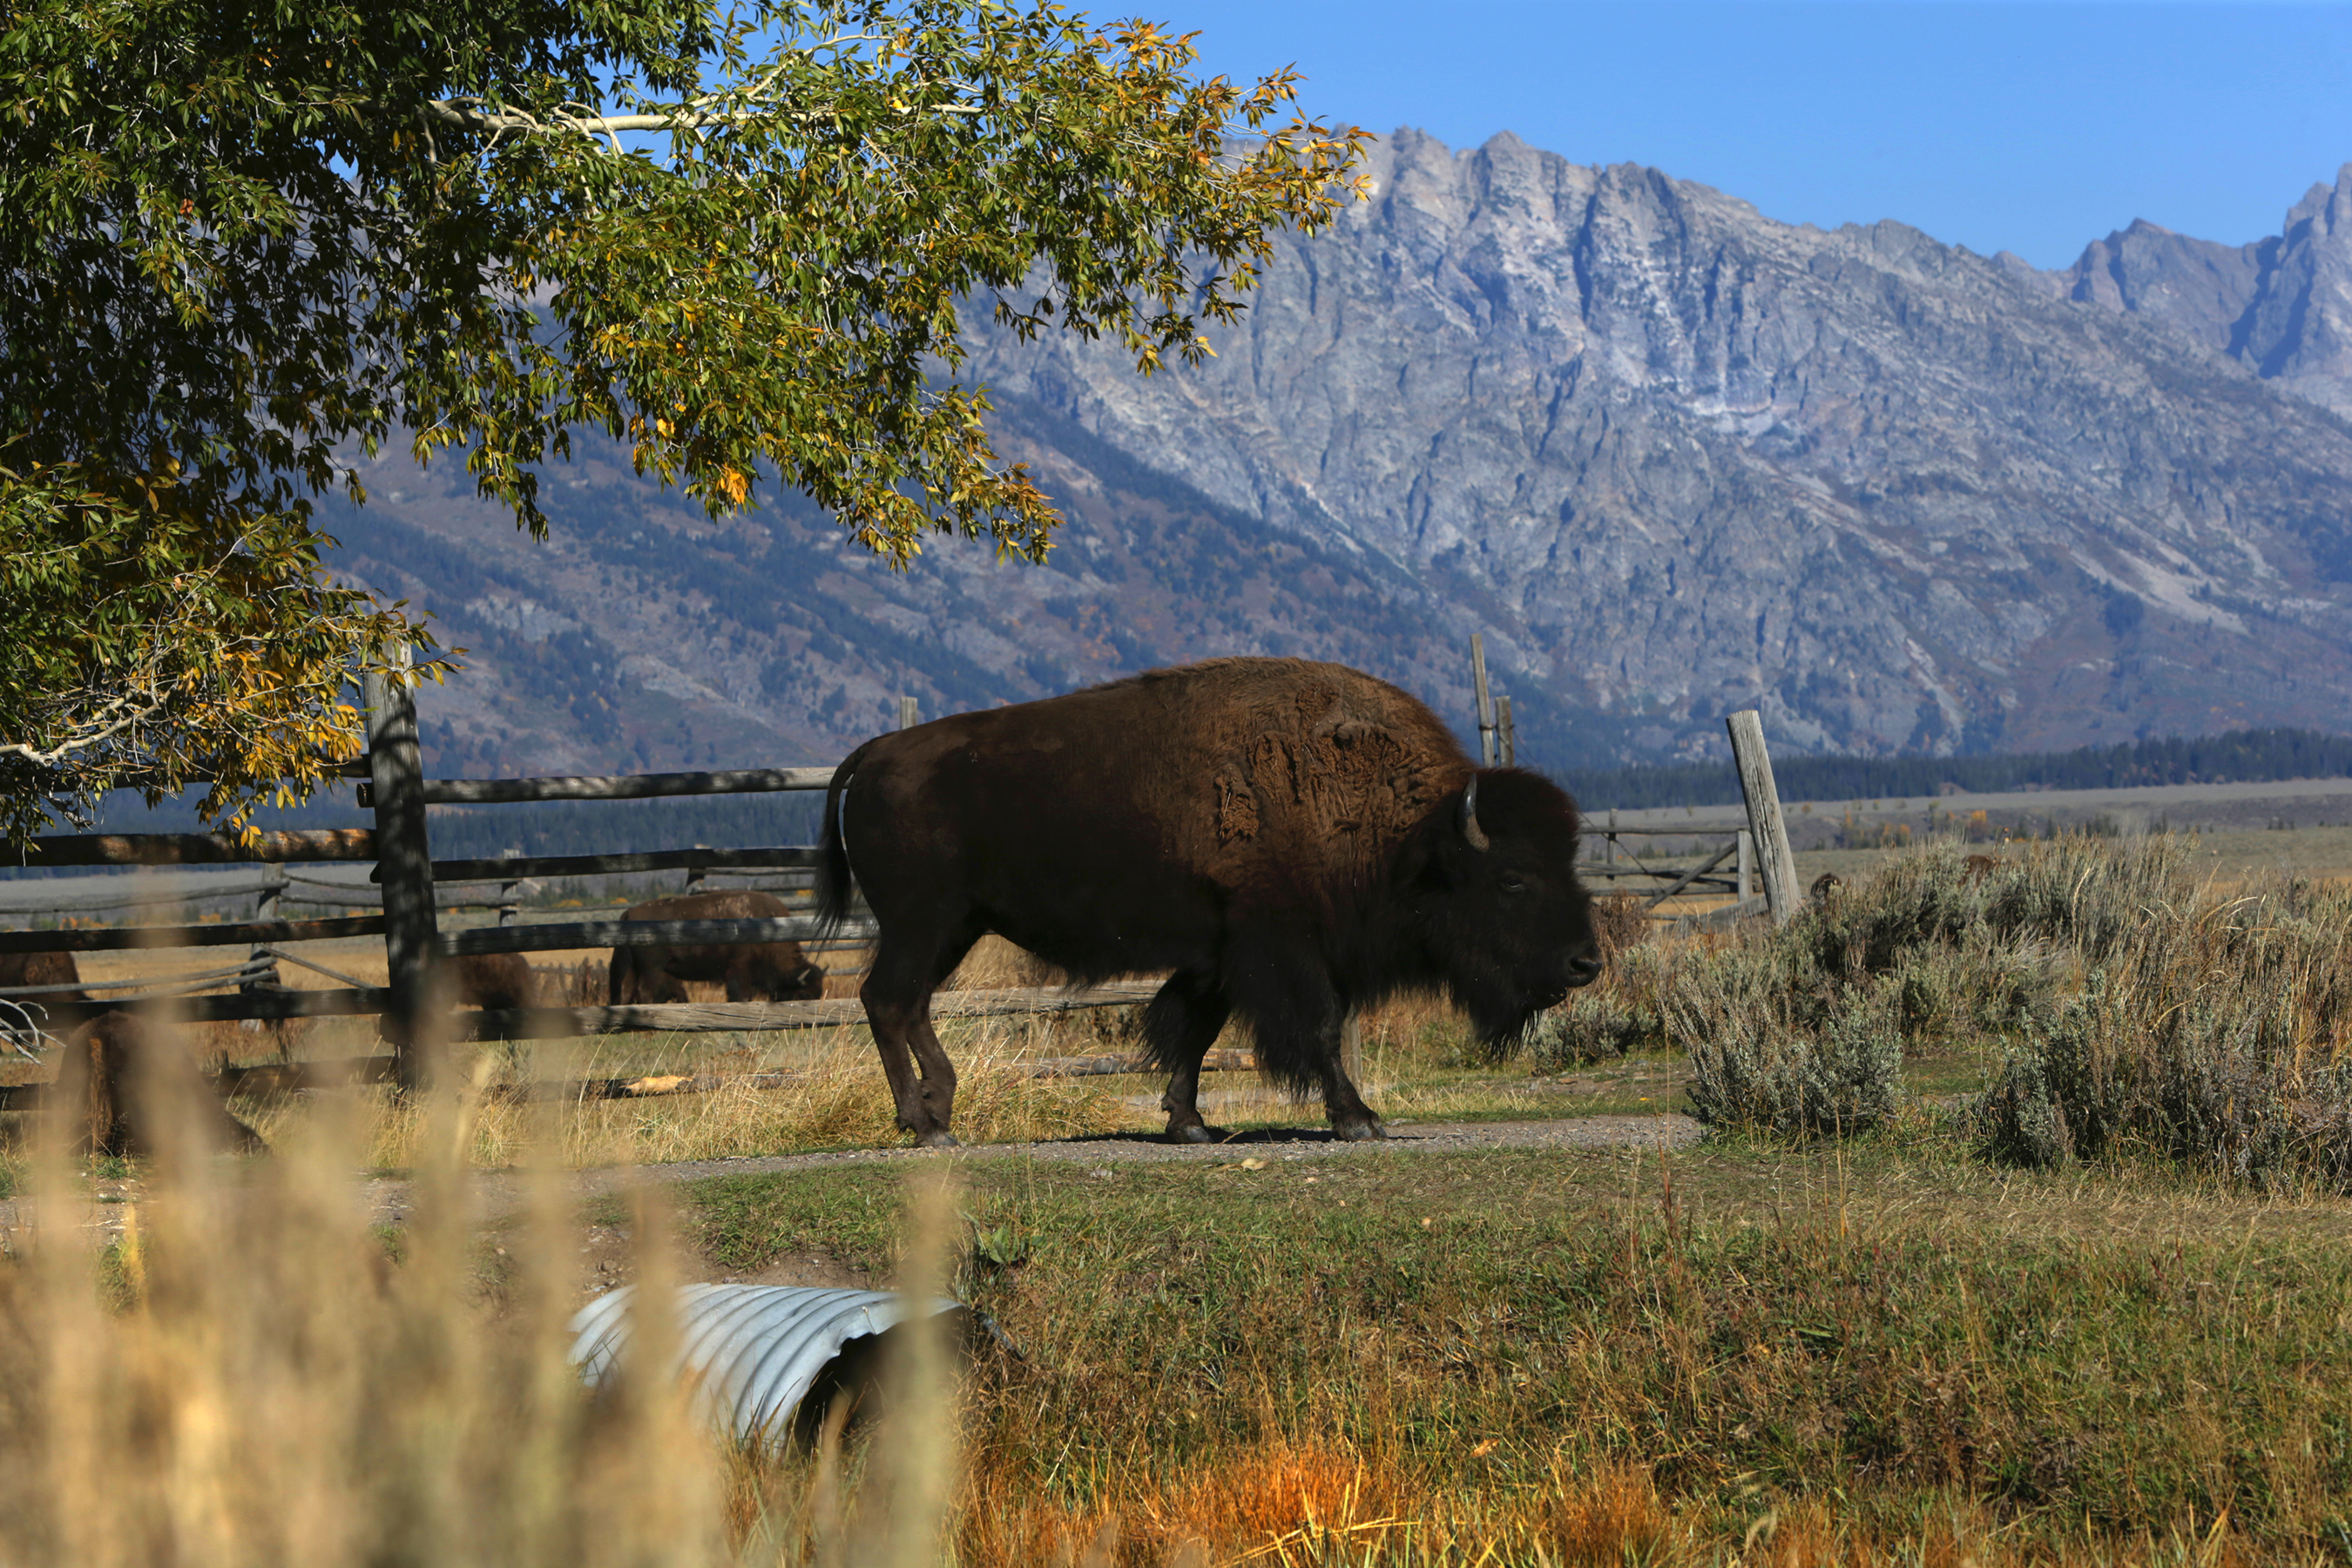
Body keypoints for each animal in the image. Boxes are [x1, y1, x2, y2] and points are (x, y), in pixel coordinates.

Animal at [602, 893, 832, 1006]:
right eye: (803, 994)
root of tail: (630, 913)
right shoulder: (740, 971)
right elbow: (741, 996)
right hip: (653, 969)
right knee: (645, 992)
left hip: (631, 968)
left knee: (624, 992)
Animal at [818, 658, 1608, 1146]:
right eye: (1512, 879)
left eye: (1569, 862)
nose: (1585, 964)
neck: (1410, 837)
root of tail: (878, 751)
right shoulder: (1282, 948)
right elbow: (1318, 1029)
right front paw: (1358, 1119)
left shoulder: (1218, 955)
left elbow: (1192, 1033)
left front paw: (1188, 1123)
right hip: (922, 923)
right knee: (888, 999)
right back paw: (927, 1124)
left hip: (953, 929)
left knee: (906, 1004)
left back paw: (938, 1109)